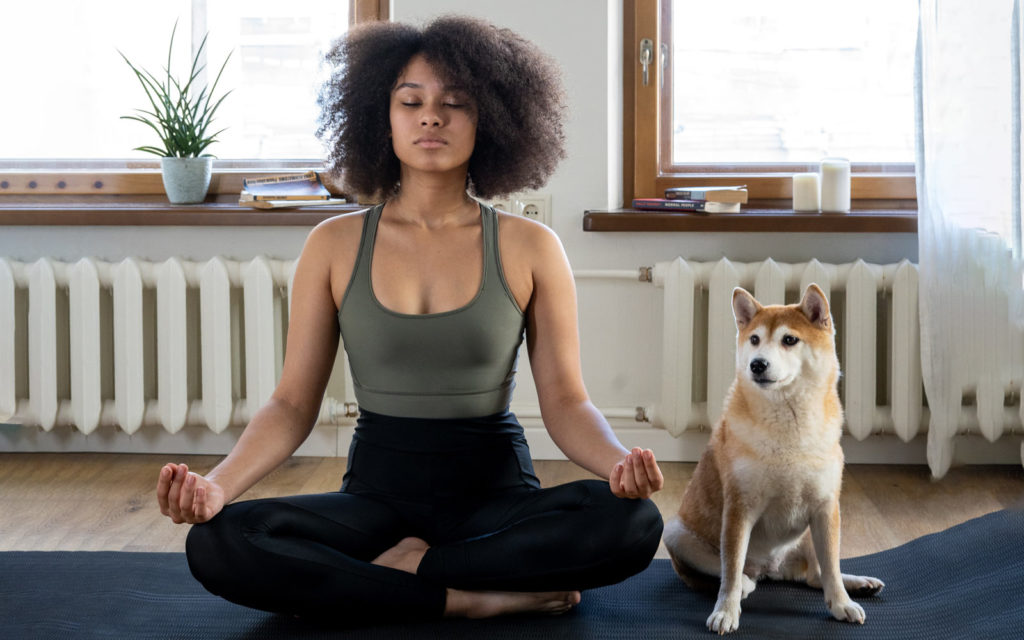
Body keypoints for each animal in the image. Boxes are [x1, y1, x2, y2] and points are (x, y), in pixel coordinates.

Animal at [659, 286, 884, 634]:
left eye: (789, 340)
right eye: (754, 339)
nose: (757, 364)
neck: (788, 426)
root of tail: (772, 569)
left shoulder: (825, 507)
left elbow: (831, 568)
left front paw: (842, 603)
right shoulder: (739, 508)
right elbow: (730, 570)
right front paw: (726, 611)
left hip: (810, 535)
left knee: (816, 574)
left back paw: (858, 584)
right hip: (676, 531)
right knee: (733, 574)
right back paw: (746, 584)